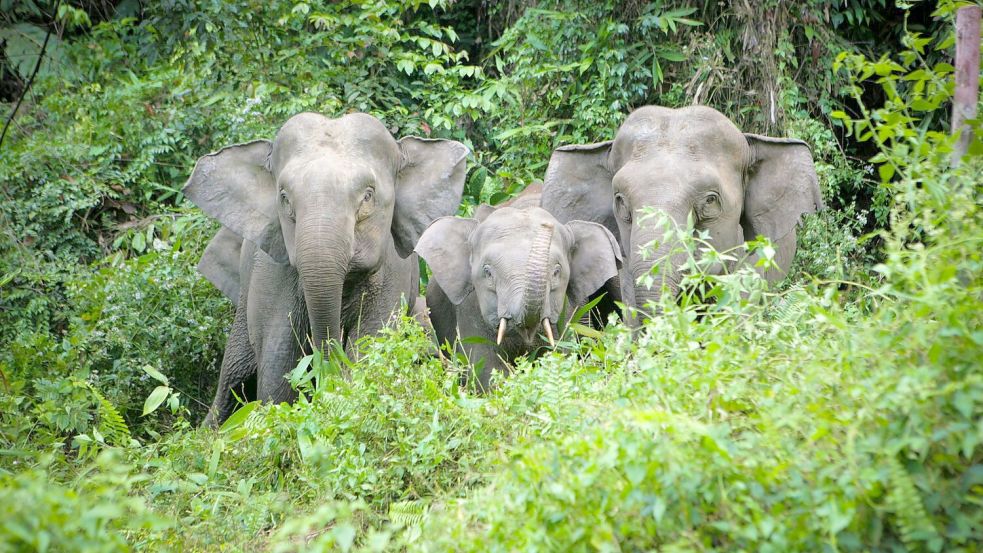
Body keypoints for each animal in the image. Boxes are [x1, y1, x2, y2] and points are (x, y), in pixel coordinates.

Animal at [184, 110, 468, 424]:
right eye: (284, 197)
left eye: (368, 195)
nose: (324, 372)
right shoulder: (271, 273)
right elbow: (276, 367)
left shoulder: (394, 274)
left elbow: (369, 347)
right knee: (232, 378)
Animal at [418, 203, 624, 388]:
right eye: (488, 272)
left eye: (556, 272)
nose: (546, 226)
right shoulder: (469, 309)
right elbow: (484, 365)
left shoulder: (568, 312)